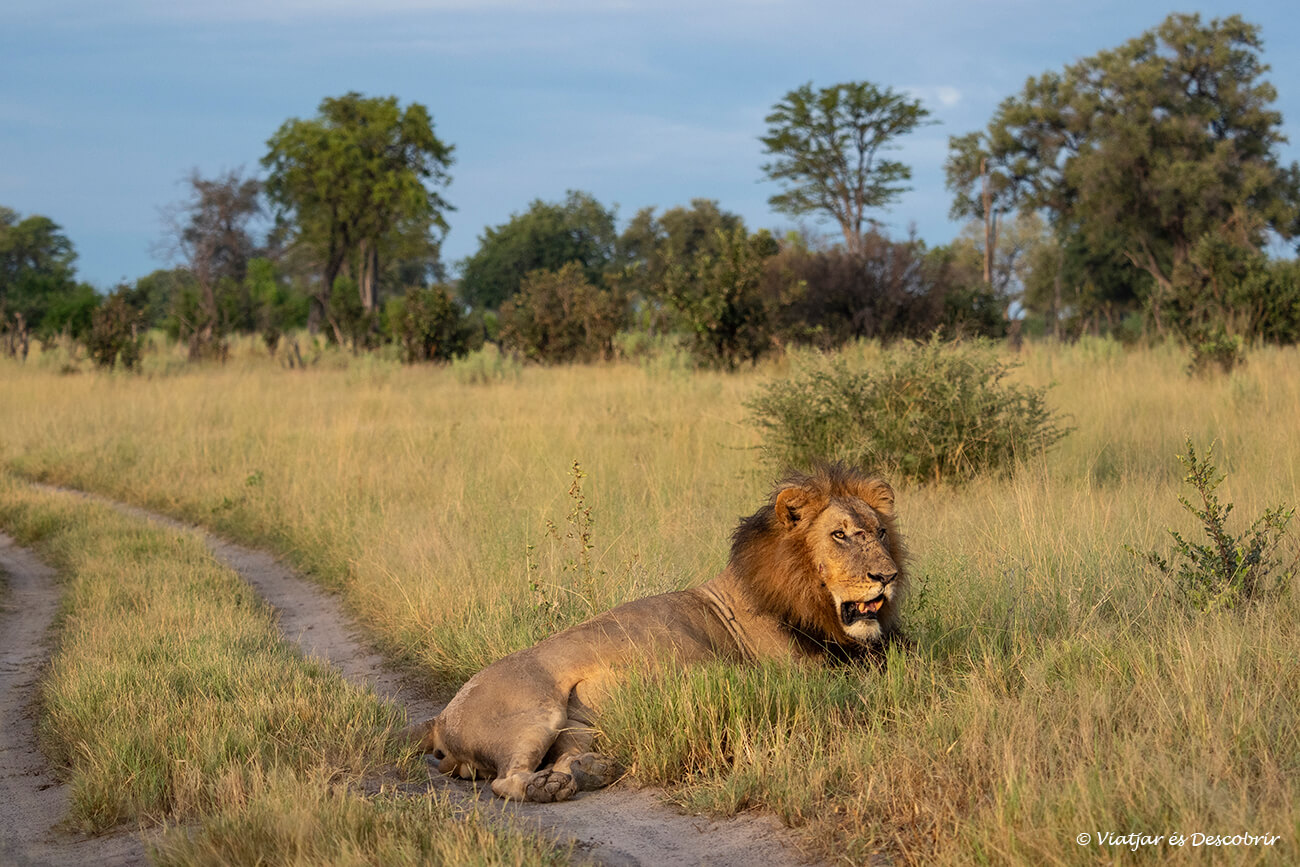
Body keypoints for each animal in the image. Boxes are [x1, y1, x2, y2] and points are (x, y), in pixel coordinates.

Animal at [404, 463, 906, 802]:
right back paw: (549, 786)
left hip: (580, 724)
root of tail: (440, 719)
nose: (888, 575)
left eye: (881, 532)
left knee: (564, 756)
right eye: (840, 535)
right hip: (535, 712)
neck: (801, 595)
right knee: (505, 781)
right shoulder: (799, 677)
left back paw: (590, 770)